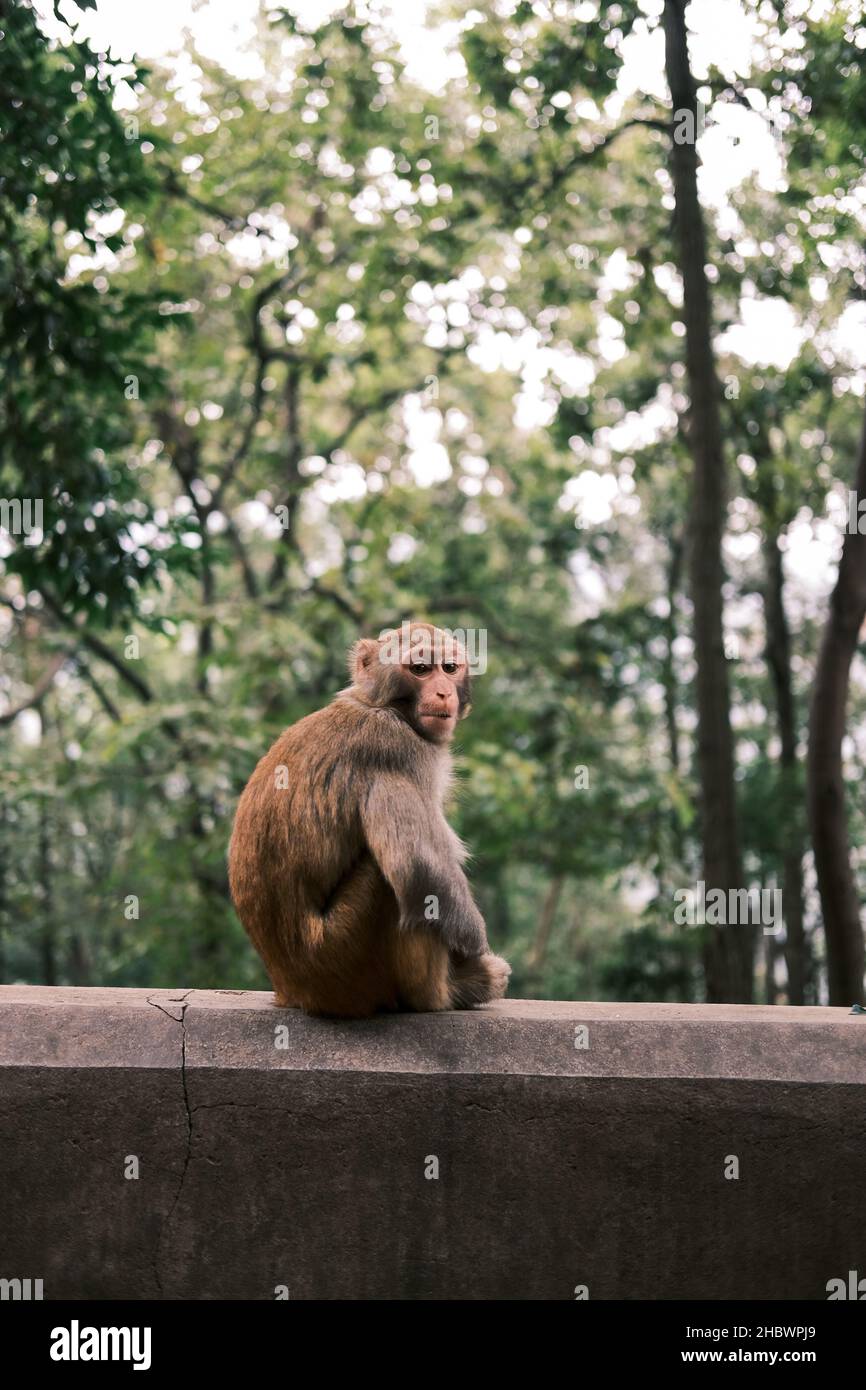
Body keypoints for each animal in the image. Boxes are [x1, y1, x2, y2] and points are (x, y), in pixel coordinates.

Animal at [227, 621, 511, 1018]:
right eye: (420, 669)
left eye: (449, 668)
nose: (443, 692)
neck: (378, 705)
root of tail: (293, 992)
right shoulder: (397, 750)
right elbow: (420, 868)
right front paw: (474, 942)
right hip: (344, 960)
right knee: (389, 879)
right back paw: (448, 992)